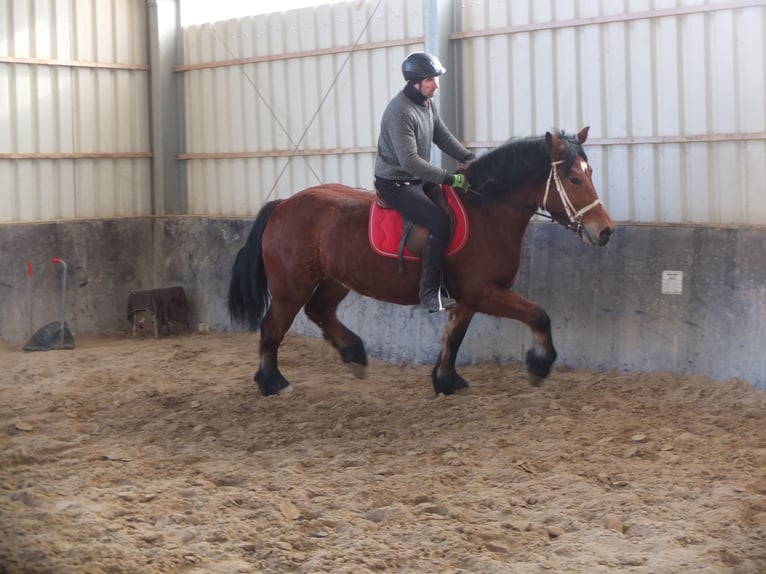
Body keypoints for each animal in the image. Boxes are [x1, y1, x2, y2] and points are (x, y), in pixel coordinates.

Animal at [228, 126, 616, 398]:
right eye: (574, 178)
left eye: (590, 173)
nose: (605, 231)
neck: (487, 209)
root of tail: (283, 204)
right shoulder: (485, 292)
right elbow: (539, 315)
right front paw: (539, 365)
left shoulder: (470, 298)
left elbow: (454, 338)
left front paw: (447, 381)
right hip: (291, 288)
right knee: (272, 328)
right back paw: (273, 382)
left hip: (334, 280)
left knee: (319, 311)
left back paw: (354, 354)